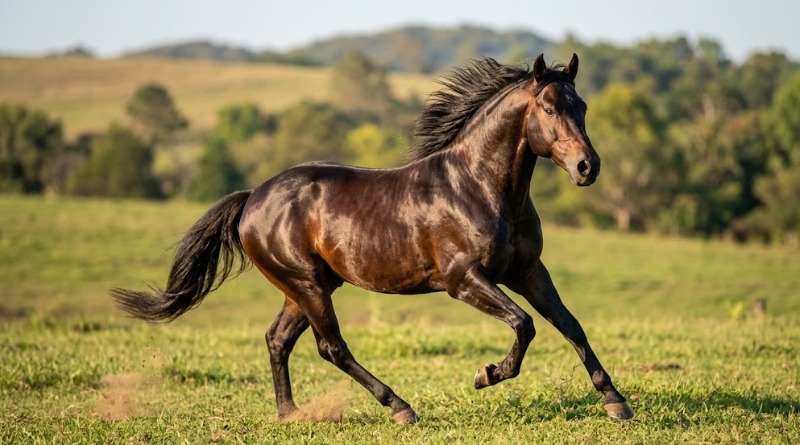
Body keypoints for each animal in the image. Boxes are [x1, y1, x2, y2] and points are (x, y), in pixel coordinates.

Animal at [111, 54, 634, 424]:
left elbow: (570, 325)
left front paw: (616, 402)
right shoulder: (463, 280)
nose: (588, 167)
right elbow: (524, 324)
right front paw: (487, 375)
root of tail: (252, 198)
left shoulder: (528, 271)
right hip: (307, 284)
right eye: (547, 107)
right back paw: (400, 408)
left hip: (306, 287)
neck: (480, 187)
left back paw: (291, 415)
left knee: (278, 339)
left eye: (582, 106)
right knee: (331, 347)